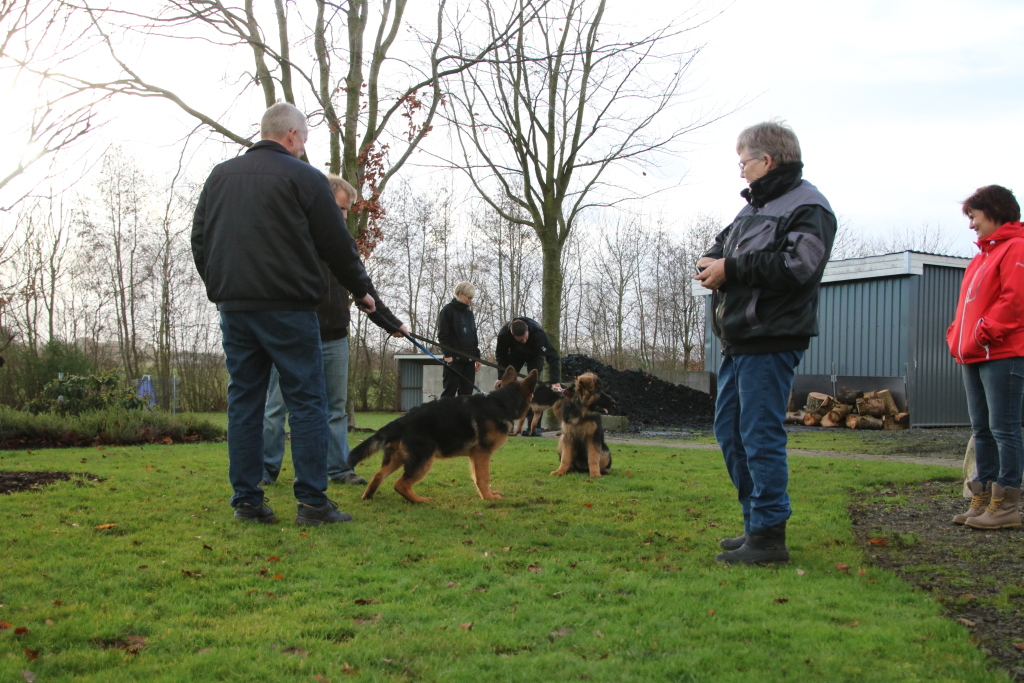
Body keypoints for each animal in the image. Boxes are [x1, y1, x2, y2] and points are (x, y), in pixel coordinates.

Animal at [348, 366, 538, 503]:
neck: (500, 402)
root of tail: (402, 420)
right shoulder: (482, 453)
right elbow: (483, 477)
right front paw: (488, 497)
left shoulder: (475, 456)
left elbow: (477, 477)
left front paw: (487, 494)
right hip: (423, 461)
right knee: (400, 484)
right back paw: (421, 500)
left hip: (398, 459)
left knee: (378, 476)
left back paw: (368, 497)